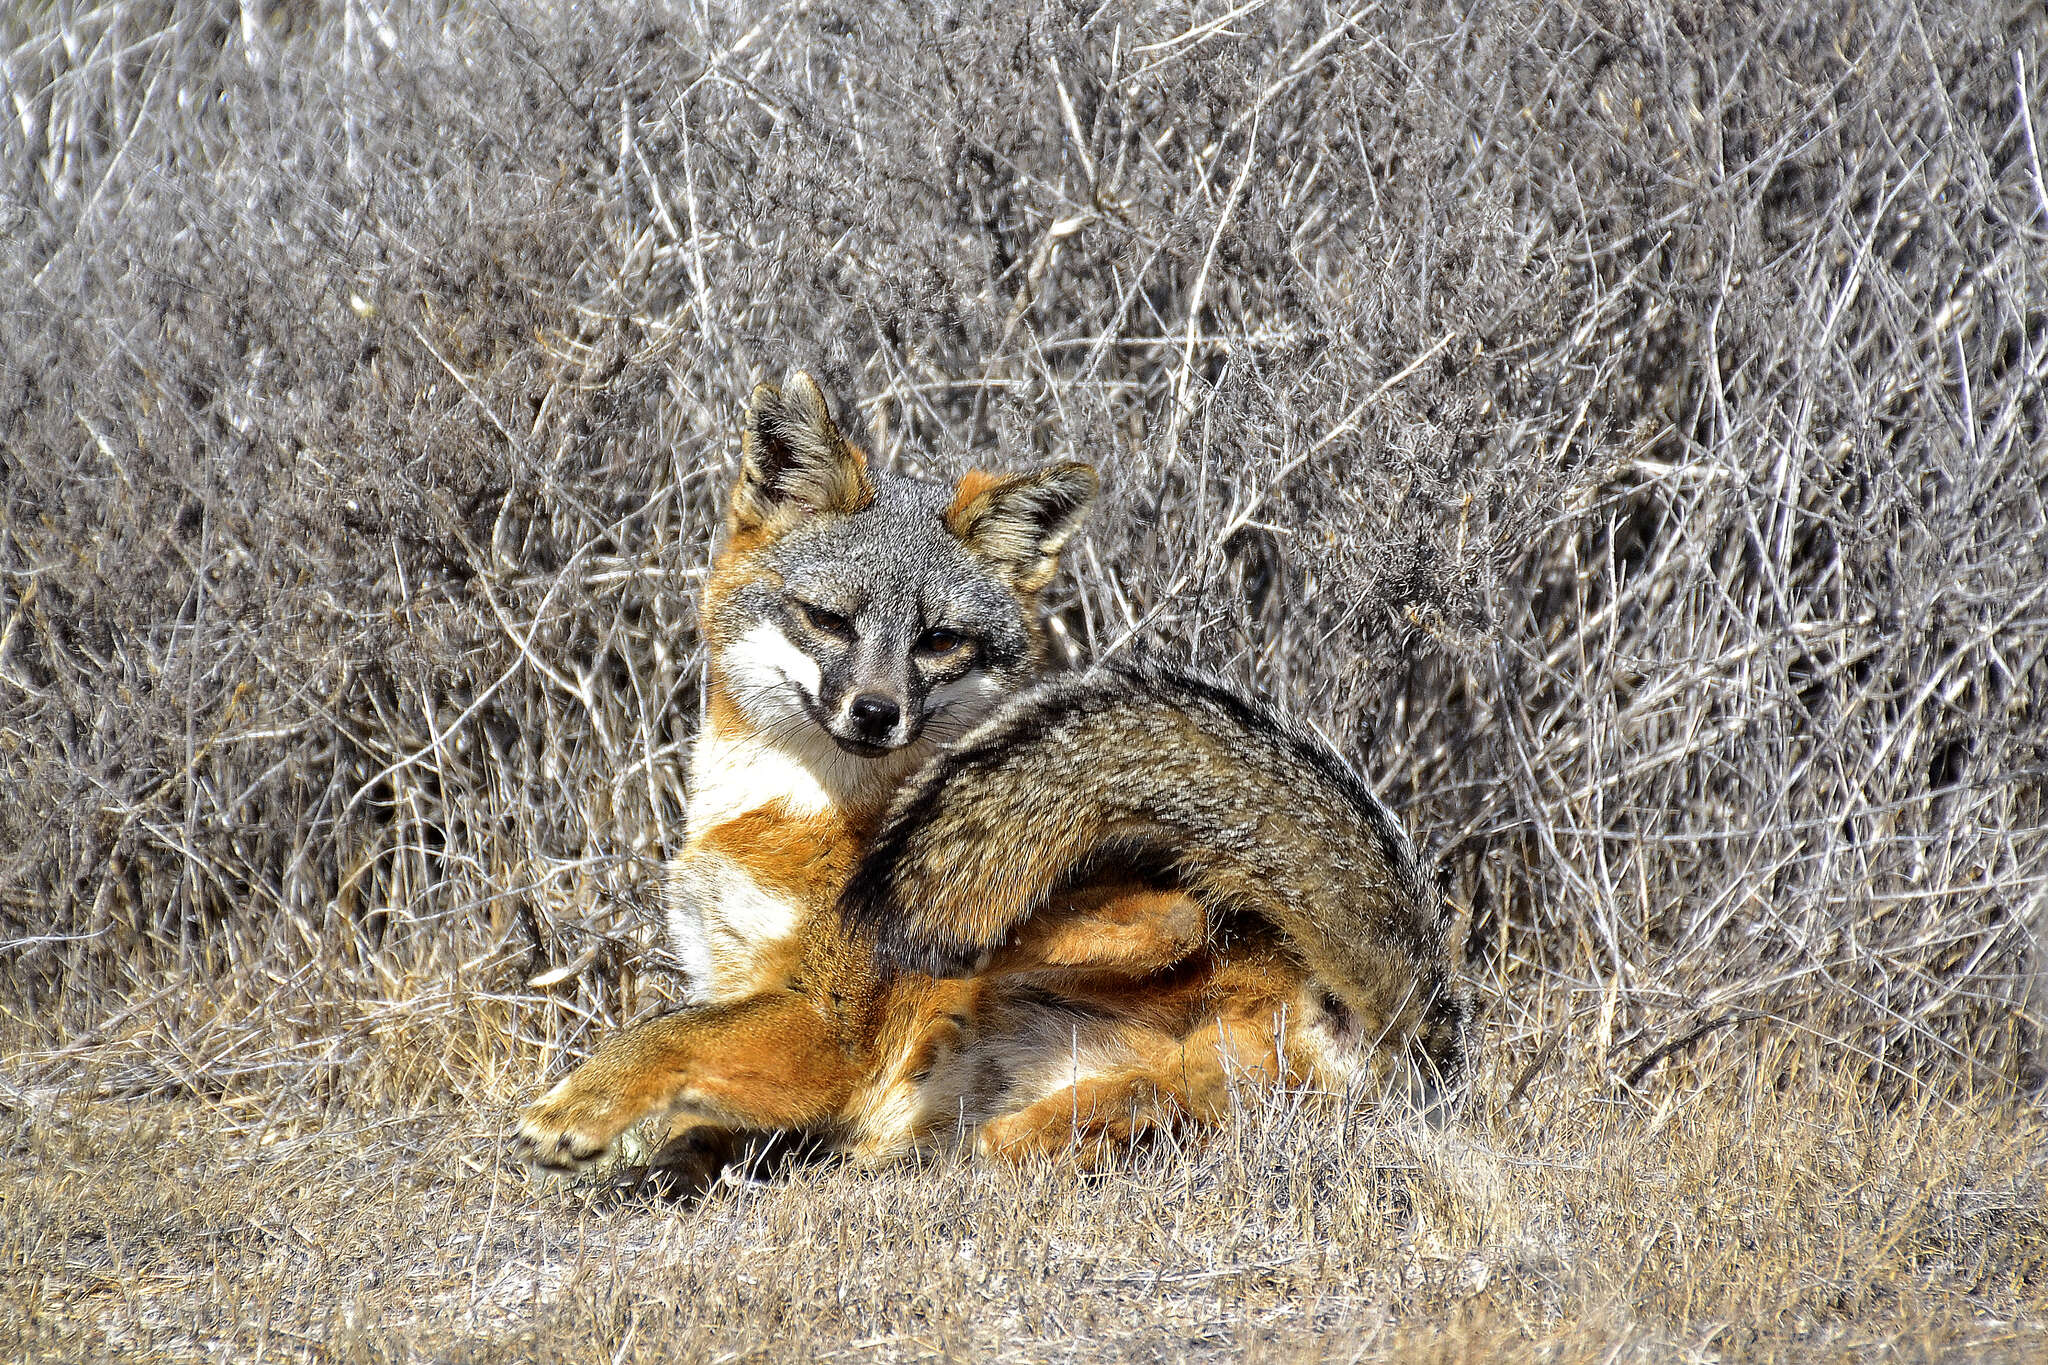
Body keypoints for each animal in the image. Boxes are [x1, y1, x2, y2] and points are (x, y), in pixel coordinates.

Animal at [512, 368, 1474, 1178]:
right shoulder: (743, 984)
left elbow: (668, 1028)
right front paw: (678, 1156)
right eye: (829, 619)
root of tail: (1396, 1033)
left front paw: (583, 1103)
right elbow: (702, 1097)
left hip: (1046, 935)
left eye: (939, 640)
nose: (876, 712)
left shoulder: (824, 1025)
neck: (778, 816)